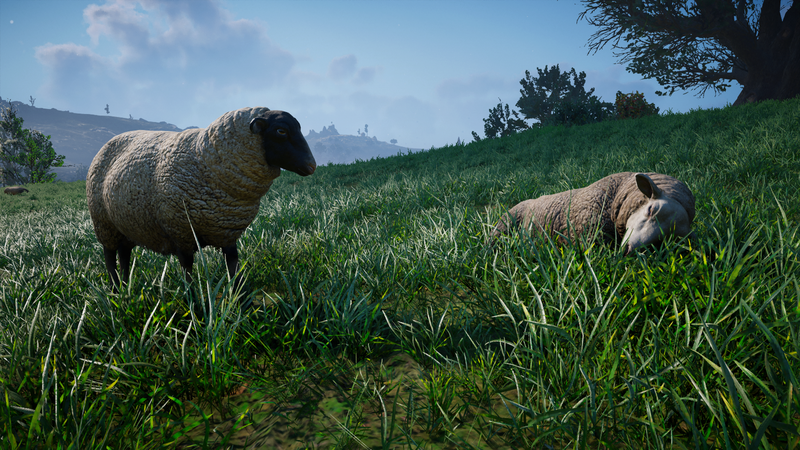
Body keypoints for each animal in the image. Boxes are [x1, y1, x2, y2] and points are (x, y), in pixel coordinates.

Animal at [86, 107, 316, 291]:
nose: (312, 166)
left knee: (124, 254)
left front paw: (239, 296)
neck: (205, 160)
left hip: (126, 224)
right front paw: (192, 299)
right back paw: (115, 290)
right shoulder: (181, 231)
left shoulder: (226, 230)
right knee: (110, 257)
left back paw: (126, 286)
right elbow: (187, 267)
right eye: (281, 131)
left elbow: (233, 263)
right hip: (103, 222)